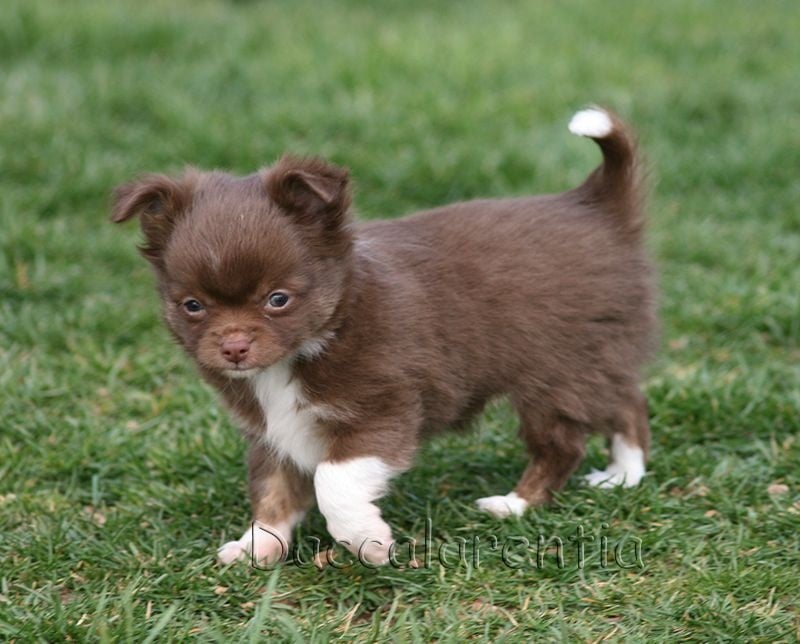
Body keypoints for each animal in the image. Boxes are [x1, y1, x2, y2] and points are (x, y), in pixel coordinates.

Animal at [112, 107, 656, 565]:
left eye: (278, 299)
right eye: (193, 306)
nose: (233, 347)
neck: (311, 344)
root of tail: (594, 205)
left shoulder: (382, 411)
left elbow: (332, 480)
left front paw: (367, 541)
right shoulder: (275, 431)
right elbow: (272, 491)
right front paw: (257, 547)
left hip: (557, 374)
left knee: (565, 444)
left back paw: (514, 503)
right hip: (592, 360)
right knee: (627, 402)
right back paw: (622, 475)